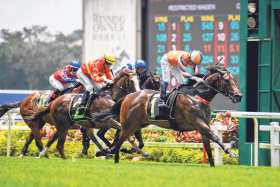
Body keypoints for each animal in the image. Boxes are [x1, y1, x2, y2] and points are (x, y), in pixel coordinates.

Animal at [93, 65, 243, 167]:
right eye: (227, 80)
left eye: (235, 80)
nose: (239, 96)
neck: (197, 96)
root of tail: (128, 96)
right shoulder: (198, 123)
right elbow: (215, 137)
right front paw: (231, 153)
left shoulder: (203, 126)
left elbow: (209, 146)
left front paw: (212, 165)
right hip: (129, 125)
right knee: (119, 141)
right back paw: (111, 153)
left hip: (137, 124)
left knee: (121, 141)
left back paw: (112, 152)